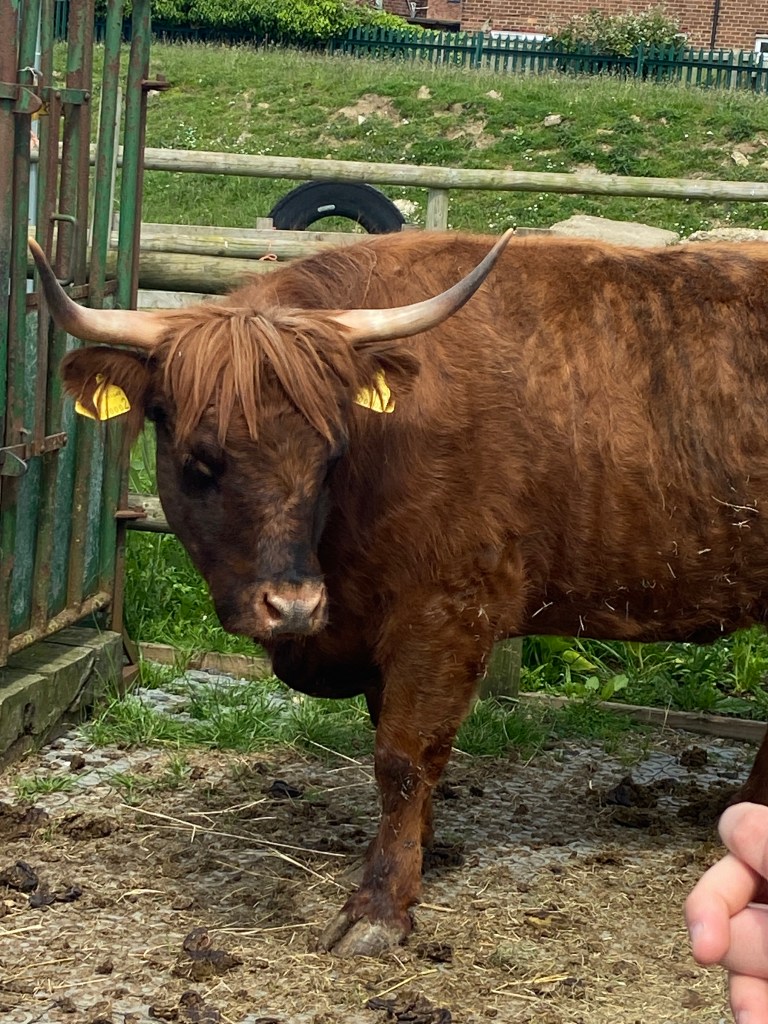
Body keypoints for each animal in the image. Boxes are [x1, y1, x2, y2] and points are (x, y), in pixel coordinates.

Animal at [29, 229, 768, 957]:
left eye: (330, 454)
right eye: (199, 460)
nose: (293, 607)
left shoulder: (445, 614)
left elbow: (403, 757)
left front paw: (380, 904)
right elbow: (396, 745)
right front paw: (423, 851)